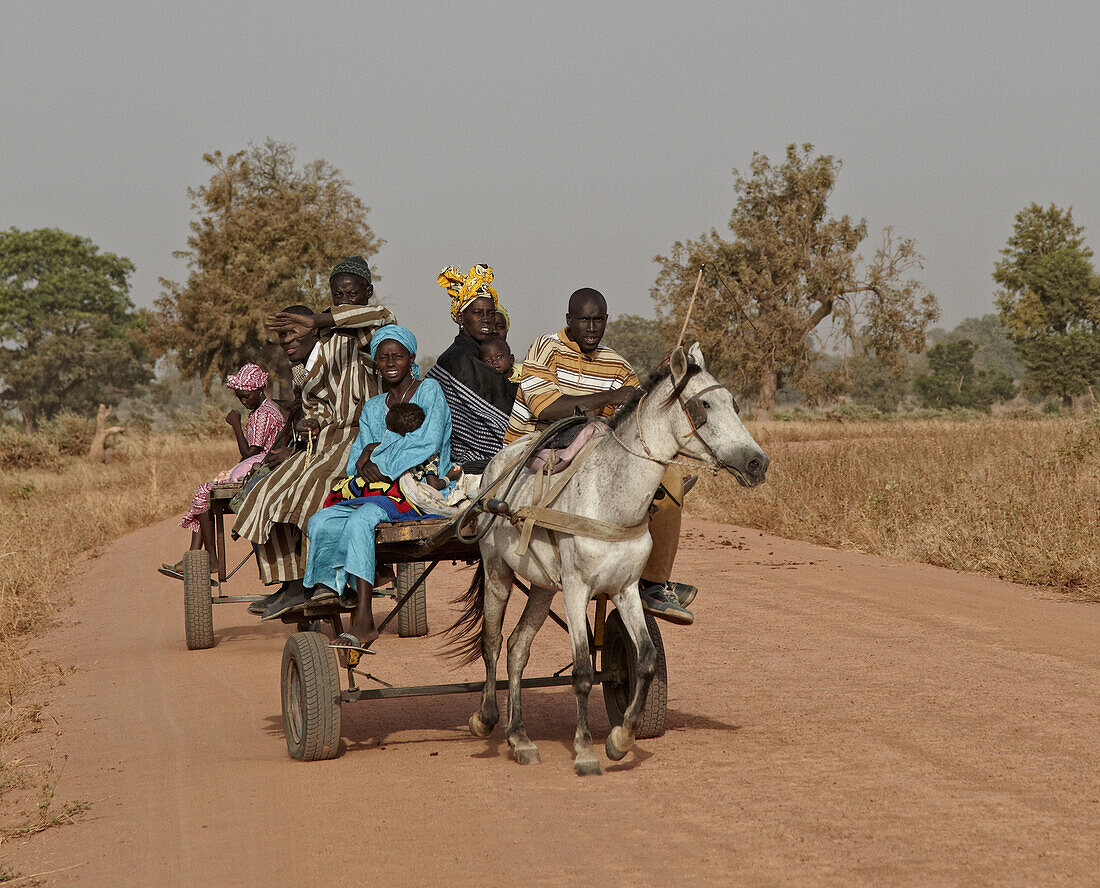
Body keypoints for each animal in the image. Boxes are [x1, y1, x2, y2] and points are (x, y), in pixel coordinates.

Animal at [444, 343, 765, 774]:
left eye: (734, 402)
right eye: (705, 405)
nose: (758, 463)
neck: (611, 499)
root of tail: (494, 470)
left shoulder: (624, 588)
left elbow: (645, 659)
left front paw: (621, 738)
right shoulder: (577, 589)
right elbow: (581, 671)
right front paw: (584, 750)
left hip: (544, 587)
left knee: (517, 647)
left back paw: (520, 738)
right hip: (499, 574)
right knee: (492, 642)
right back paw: (486, 719)